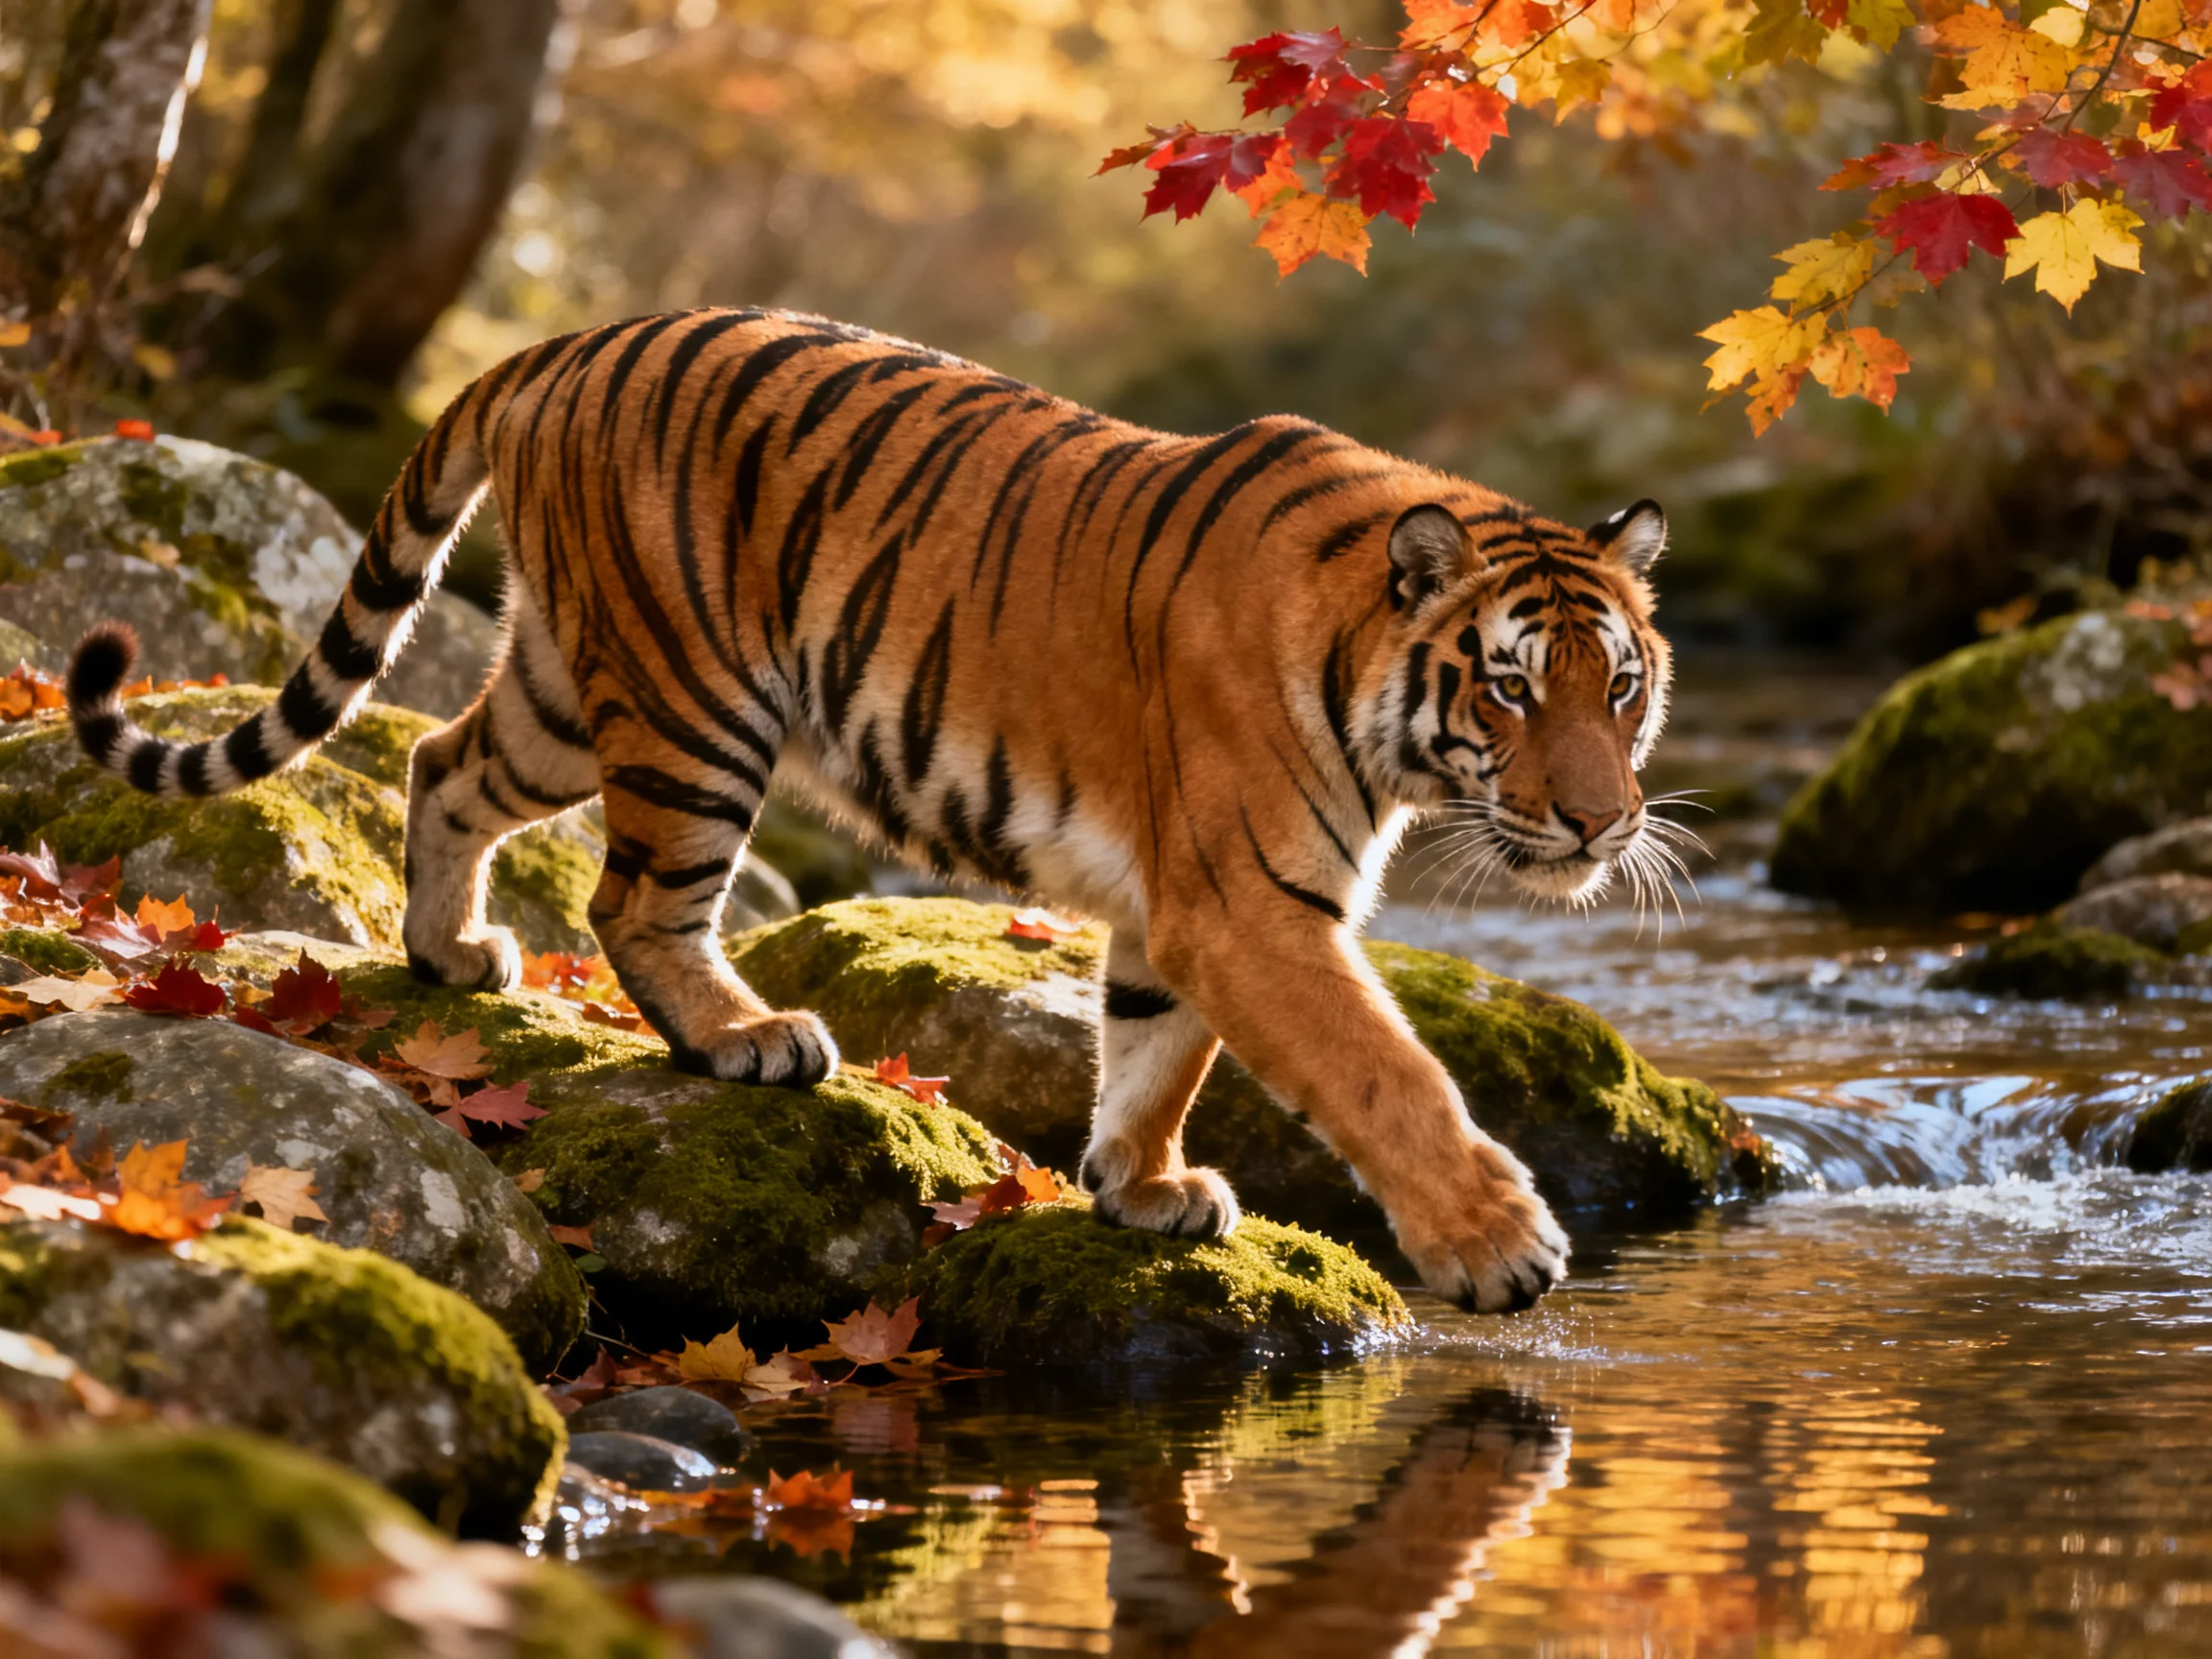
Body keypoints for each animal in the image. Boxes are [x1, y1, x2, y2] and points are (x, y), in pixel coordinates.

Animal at [66, 307, 1674, 1314]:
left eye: (1621, 689)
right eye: (1513, 691)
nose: (1603, 825)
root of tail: (562, 341)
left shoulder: (1187, 908)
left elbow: (1154, 1051)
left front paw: (1140, 1187)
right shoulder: (1254, 903)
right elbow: (1386, 1074)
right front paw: (1499, 1246)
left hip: (565, 695)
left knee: (442, 762)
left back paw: (450, 953)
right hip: (698, 706)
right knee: (635, 899)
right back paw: (745, 1037)